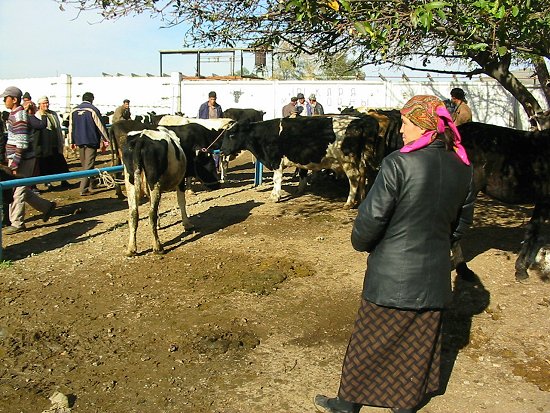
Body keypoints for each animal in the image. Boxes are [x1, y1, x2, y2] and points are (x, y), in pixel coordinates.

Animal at [124, 125, 221, 254]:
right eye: (209, 162)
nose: (218, 184)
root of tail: (141, 138)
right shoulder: (180, 180)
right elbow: (181, 202)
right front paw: (187, 224)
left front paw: (159, 225)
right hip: (154, 182)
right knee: (151, 213)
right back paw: (157, 246)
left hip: (131, 183)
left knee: (133, 213)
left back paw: (131, 248)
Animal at [222, 115, 382, 206]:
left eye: (231, 135)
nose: (222, 151)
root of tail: (360, 122)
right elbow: (302, 174)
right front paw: (299, 190)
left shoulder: (276, 160)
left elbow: (276, 179)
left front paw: (275, 196)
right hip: (360, 159)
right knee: (363, 175)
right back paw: (361, 199)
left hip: (347, 161)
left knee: (354, 178)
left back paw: (349, 203)